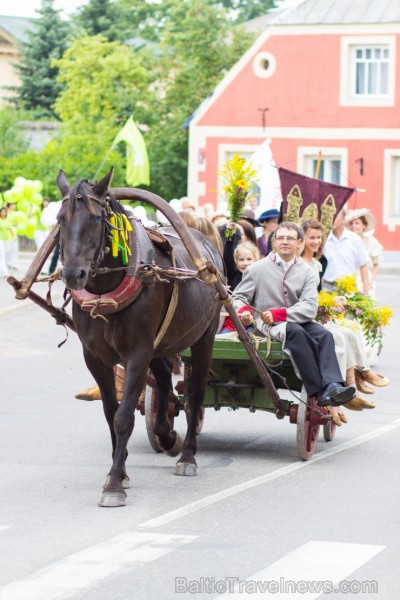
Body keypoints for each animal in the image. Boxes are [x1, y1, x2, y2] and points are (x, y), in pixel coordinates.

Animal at [56, 169, 225, 506]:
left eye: (96, 219)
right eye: (59, 219)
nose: (72, 274)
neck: (105, 292)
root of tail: (206, 243)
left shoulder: (136, 352)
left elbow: (123, 417)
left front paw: (114, 485)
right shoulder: (95, 357)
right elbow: (111, 412)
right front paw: (118, 469)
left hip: (204, 337)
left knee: (195, 394)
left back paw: (187, 454)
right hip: (161, 343)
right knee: (163, 380)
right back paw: (166, 432)